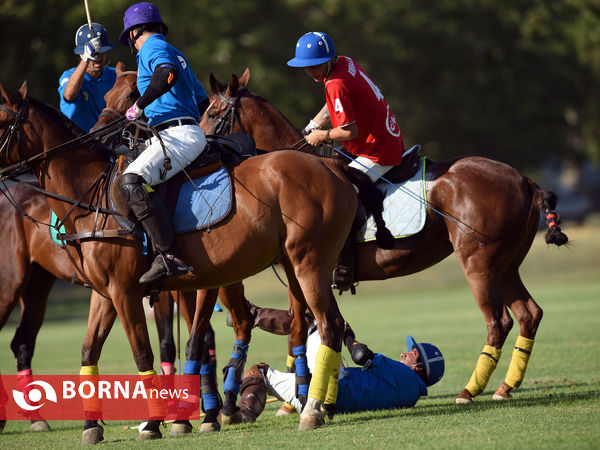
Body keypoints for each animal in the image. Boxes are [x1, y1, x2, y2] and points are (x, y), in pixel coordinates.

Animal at [0, 81, 378, 436]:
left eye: (2, 122)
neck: (89, 196)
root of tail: (331, 166)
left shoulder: (127, 290)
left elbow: (148, 350)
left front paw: (157, 423)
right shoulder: (105, 293)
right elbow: (90, 349)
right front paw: (93, 426)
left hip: (310, 262)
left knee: (328, 325)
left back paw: (312, 409)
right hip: (291, 264)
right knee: (305, 324)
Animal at [199, 67, 568, 404]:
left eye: (213, 114)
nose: (200, 153)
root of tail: (525, 181)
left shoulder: (307, 270)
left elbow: (310, 325)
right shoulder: (302, 274)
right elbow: (301, 325)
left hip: (479, 264)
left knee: (498, 322)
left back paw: (469, 391)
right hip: (507, 265)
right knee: (529, 314)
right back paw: (505, 387)